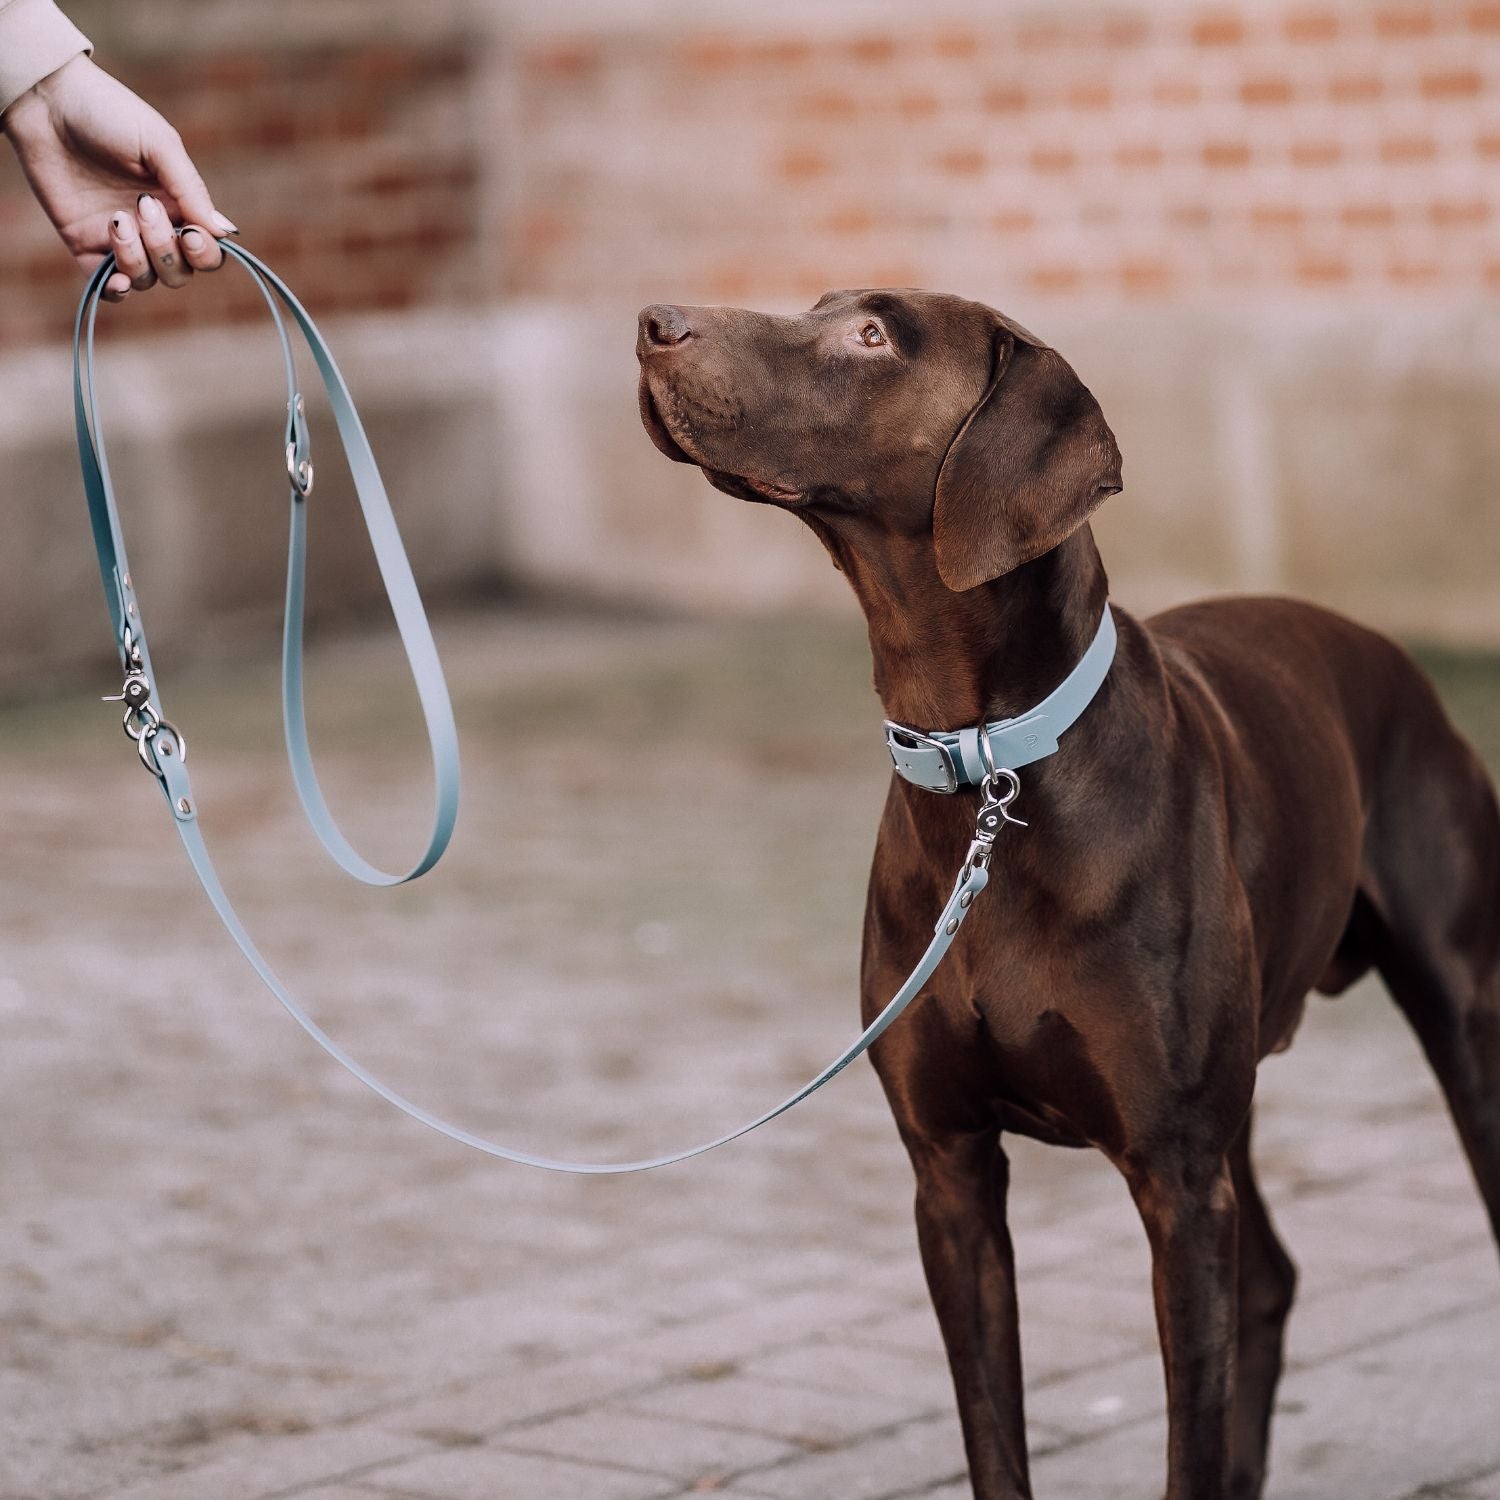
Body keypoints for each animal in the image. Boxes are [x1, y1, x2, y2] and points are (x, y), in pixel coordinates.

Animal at [633, 292, 1500, 1500]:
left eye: (871, 336)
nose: (653, 322)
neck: (986, 769)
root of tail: (1387, 651)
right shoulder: (950, 1174)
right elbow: (993, 1431)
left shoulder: (1176, 1186)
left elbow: (1190, 1436)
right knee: (1271, 1280)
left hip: (1461, 1018)